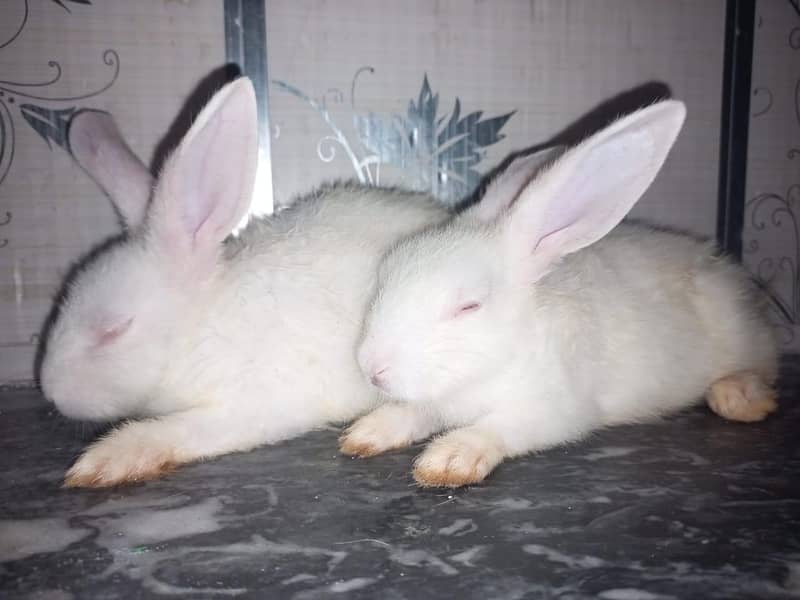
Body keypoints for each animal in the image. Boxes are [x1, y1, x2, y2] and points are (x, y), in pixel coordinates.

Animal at [39, 77, 455, 487]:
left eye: (113, 330)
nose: (50, 391)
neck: (201, 328)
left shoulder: (250, 406)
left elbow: (180, 430)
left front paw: (106, 460)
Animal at [340, 100, 780, 488]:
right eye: (387, 275)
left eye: (468, 306)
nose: (371, 368)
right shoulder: (434, 400)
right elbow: (413, 413)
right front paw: (367, 433)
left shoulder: (556, 408)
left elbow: (501, 427)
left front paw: (448, 460)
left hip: (740, 336)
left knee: (763, 367)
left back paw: (738, 398)